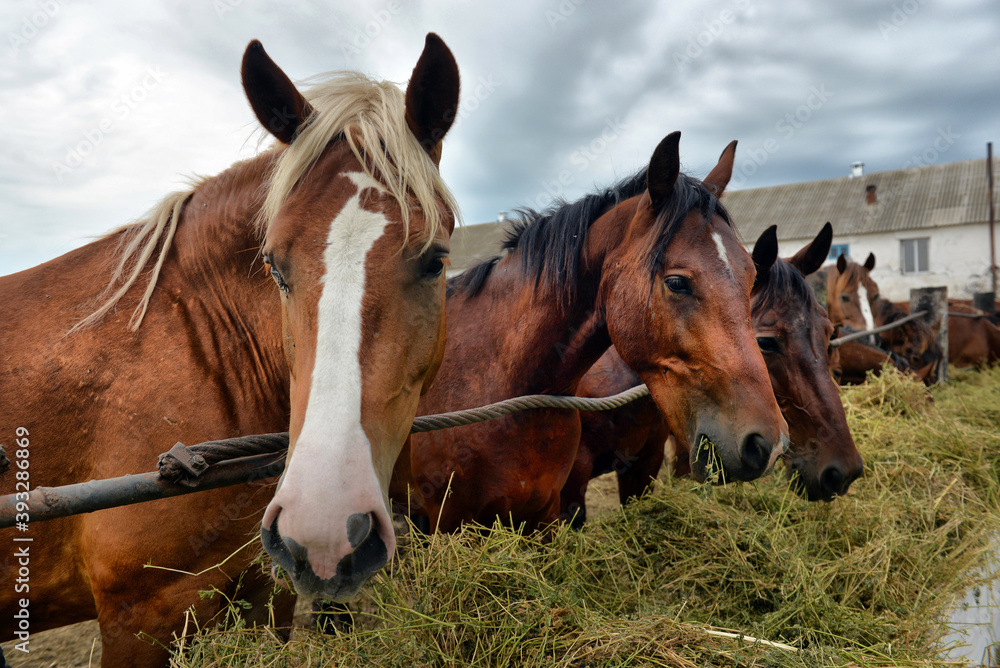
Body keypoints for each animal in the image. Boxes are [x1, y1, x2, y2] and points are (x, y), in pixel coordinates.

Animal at [0, 35, 460, 667]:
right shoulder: (139, 617)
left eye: (436, 260)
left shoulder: (264, 588)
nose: (325, 530)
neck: (197, 342)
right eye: (274, 266)